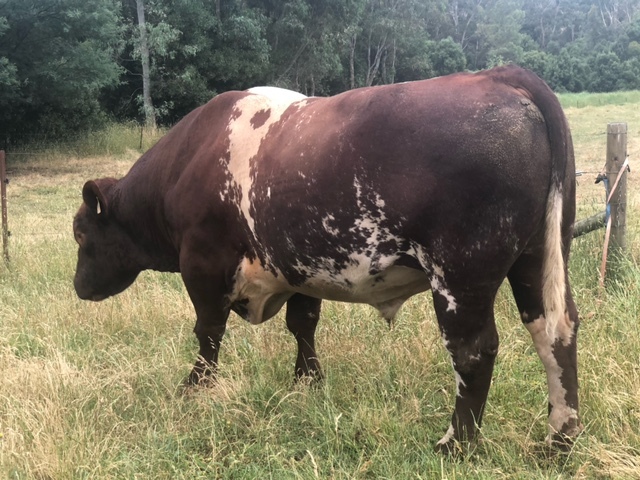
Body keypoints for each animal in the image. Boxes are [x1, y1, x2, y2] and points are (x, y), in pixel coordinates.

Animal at [73, 65, 582, 453]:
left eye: (80, 233)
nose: (78, 287)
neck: (188, 161)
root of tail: (498, 75)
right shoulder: (298, 267)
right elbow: (303, 323)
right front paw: (308, 381)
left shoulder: (202, 263)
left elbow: (208, 331)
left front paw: (196, 387)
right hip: (537, 257)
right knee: (556, 330)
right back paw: (559, 437)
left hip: (460, 273)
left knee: (474, 350)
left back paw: (456, 445)